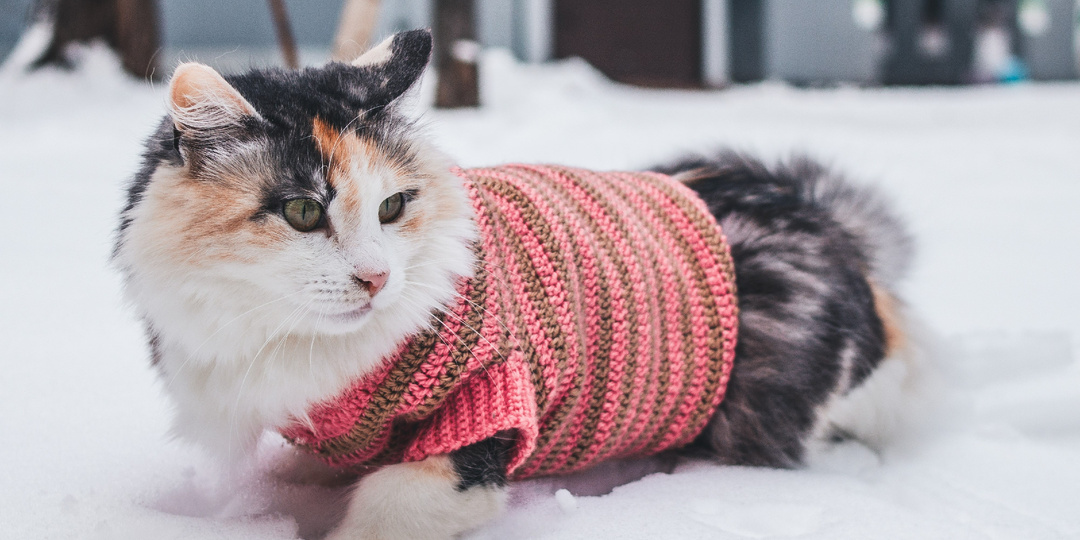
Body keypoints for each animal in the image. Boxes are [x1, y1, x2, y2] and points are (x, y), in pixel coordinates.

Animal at [111, 28, 920, 540]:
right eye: (303, 212)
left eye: (392, 207)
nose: (378, 277)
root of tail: (823, 219)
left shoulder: (490, 404)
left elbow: (388, 504)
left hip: (754, 409)